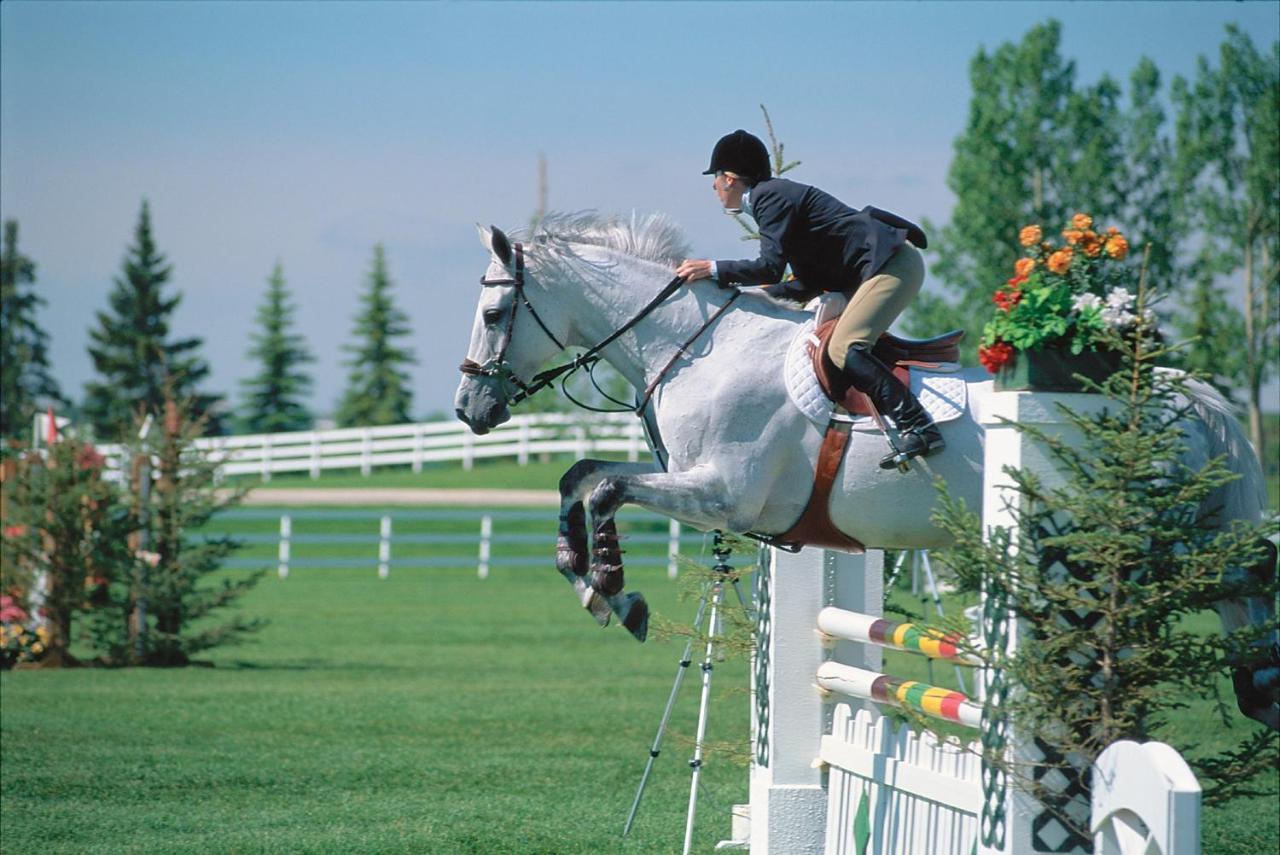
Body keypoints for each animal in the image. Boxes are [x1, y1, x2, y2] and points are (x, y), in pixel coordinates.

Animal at [455, 212, 1274, 727]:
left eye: (494, 317)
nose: (469, 409)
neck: (694, 346)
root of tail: (1188, 397)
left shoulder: (724, 494)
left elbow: (604, 488)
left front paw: (615, 592)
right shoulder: (695, 481)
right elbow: (578, 475)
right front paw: (585, 579)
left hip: (1142, 540)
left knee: (1239, 579)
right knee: (1242, 588)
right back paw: (1256, 691)